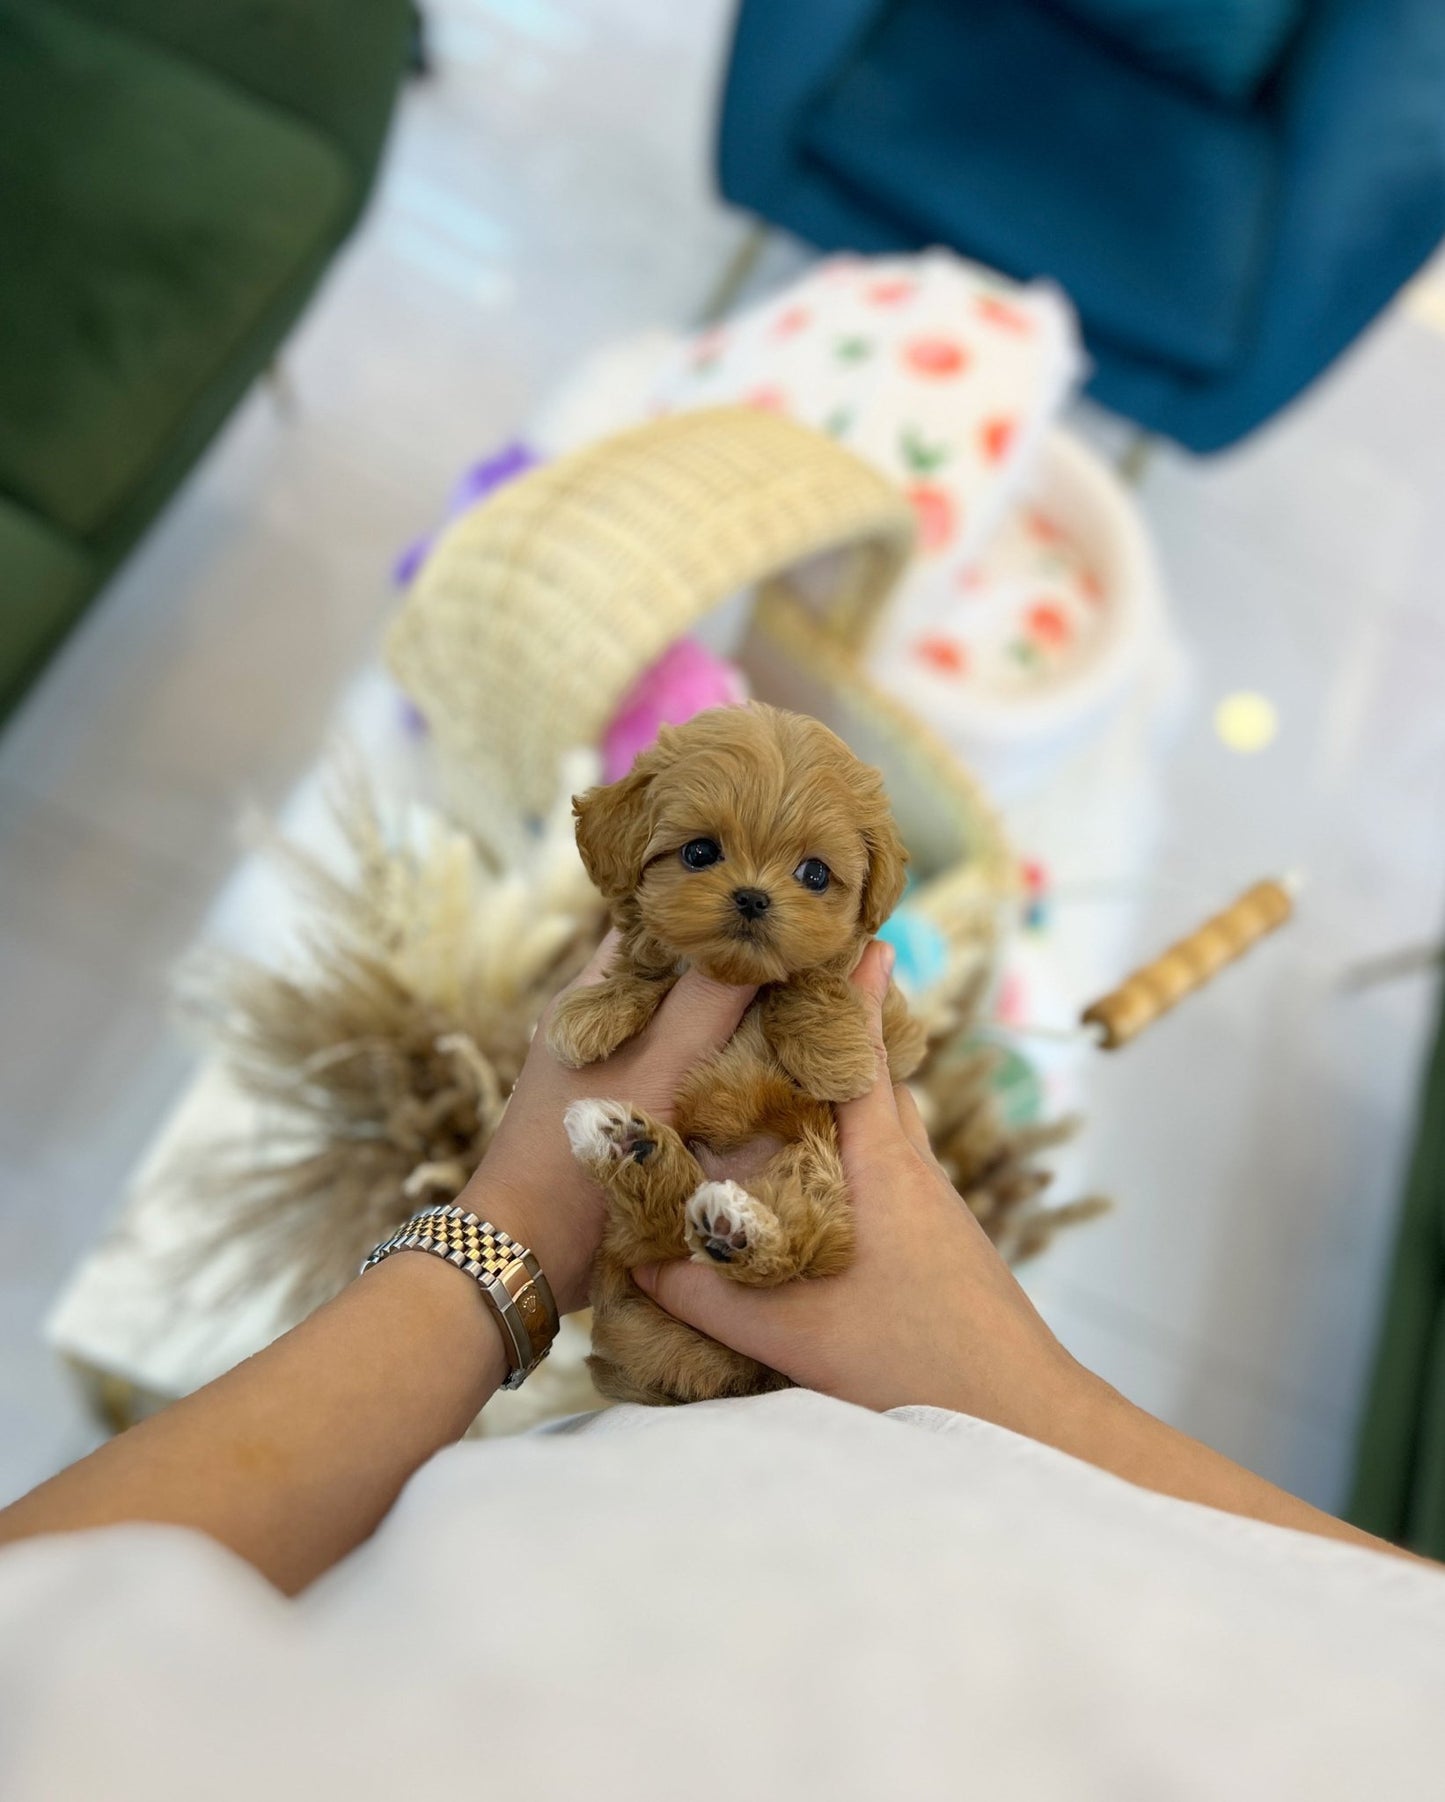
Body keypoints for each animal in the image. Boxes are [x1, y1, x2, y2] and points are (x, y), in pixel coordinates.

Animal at [547, 702, 929, 1405]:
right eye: (700, 852)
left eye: (814, 874)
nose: (753, 896)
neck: (735, 980)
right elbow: (647, 969)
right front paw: (591, 1013)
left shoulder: (897, 1027)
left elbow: (806, 979)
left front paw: (833, 1050)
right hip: (628, 1266)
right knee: (661, 1224)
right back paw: (629, 1148)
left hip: (816, 1175)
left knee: (792, 1251)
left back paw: (735, 1228)